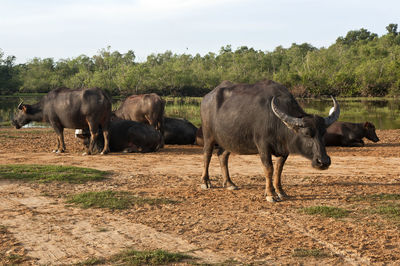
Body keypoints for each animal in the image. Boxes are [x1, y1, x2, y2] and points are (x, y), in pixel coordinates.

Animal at [202, 80, 340, 203]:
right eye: (306, 133)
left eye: (323, 133)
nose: (323, 161)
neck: (276, 122)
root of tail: (207, 97)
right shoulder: (263, 146)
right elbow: (269, 168)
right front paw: (270, 194)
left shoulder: (285, 149)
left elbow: (279, 169)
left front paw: (280, 191)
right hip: (208, 136)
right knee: (207, 155)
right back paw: (205, 181)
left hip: (229, 140)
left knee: (222, 155)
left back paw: (229, 183)